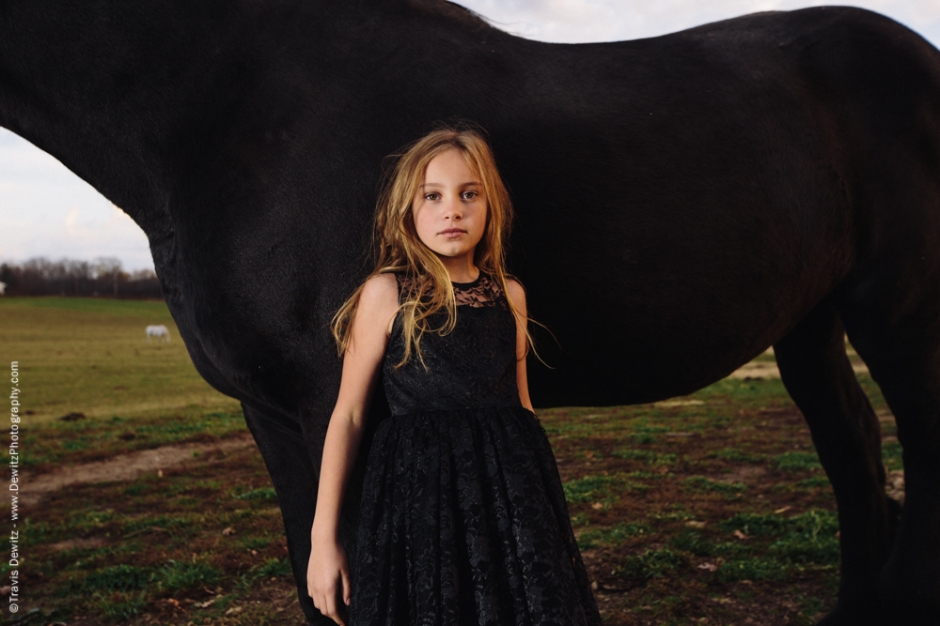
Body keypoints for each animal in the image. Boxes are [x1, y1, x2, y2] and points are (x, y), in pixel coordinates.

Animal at [3, 2, 936, 620]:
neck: (227, 110)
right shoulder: (273, 413)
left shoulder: (331, 401)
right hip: (809, 321)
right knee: (854, 450)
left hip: (898, 314)